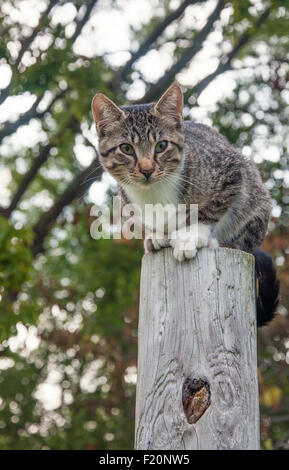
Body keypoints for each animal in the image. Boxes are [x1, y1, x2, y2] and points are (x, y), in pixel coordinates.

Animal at [91, 83, 278, 326]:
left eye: (161, 145)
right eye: (127, 149)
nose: (147, 169)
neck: (153, 193)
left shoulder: (231, 171)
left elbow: (210, 209)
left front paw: (190, 236)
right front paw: (157, 235)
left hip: (257, 200)